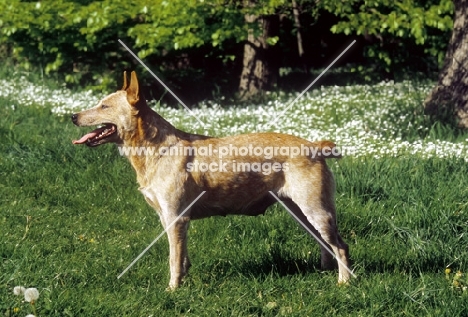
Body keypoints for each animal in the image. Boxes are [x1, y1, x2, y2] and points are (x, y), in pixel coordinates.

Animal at [72, 70, 352, 288]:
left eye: (104, 106)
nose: (73, 116)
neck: (156, 150)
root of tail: (314, 146)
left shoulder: (176, 217)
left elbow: (173, 258)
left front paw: (173, 289)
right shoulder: (167, 217)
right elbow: (181, 256)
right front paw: (184, 279)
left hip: (316, 210)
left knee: (341, 245)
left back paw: (344, 281)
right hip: (301, 212)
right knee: (325, 243)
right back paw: (326, 271)